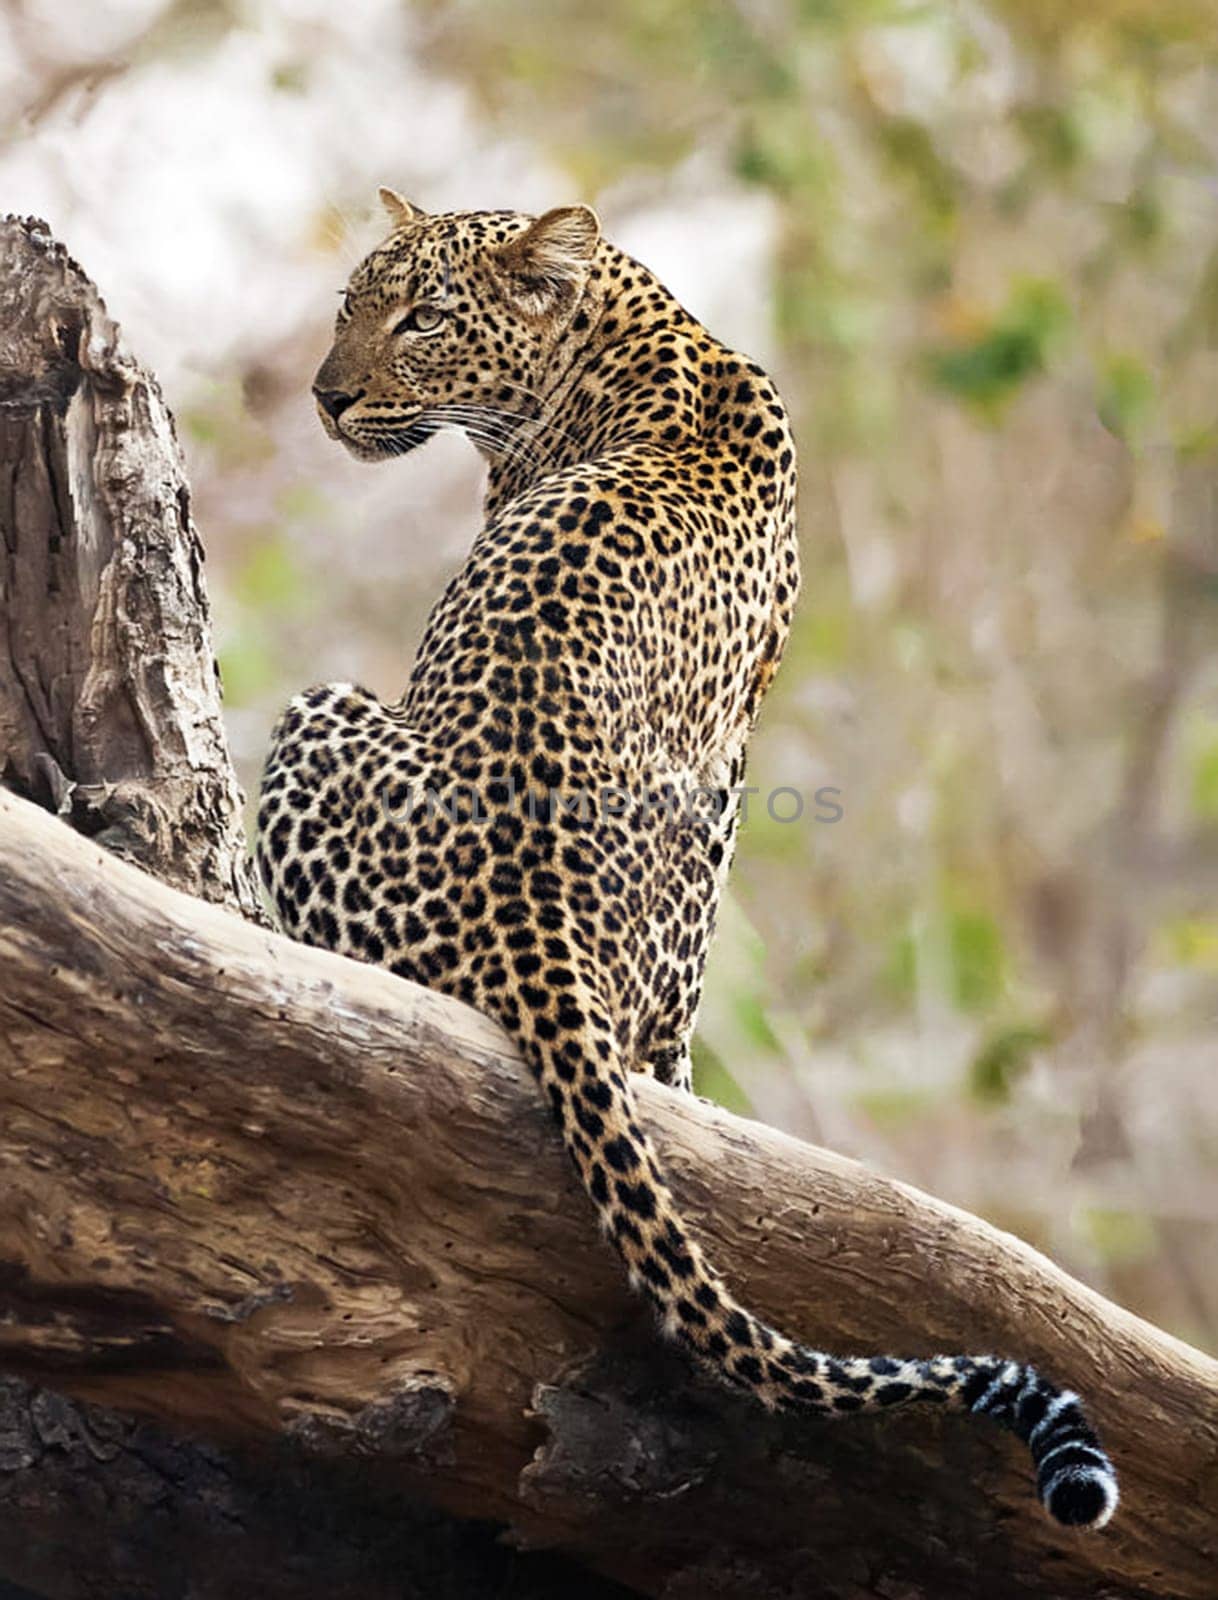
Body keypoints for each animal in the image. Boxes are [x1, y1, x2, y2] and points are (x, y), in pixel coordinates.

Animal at [256, 193, 1113, 1529]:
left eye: (422, 318)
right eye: (352, 304)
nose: (326, 397)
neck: (637, 329)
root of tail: (533, 916)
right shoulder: (733, 749)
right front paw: (690, 1087)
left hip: (320, 705)